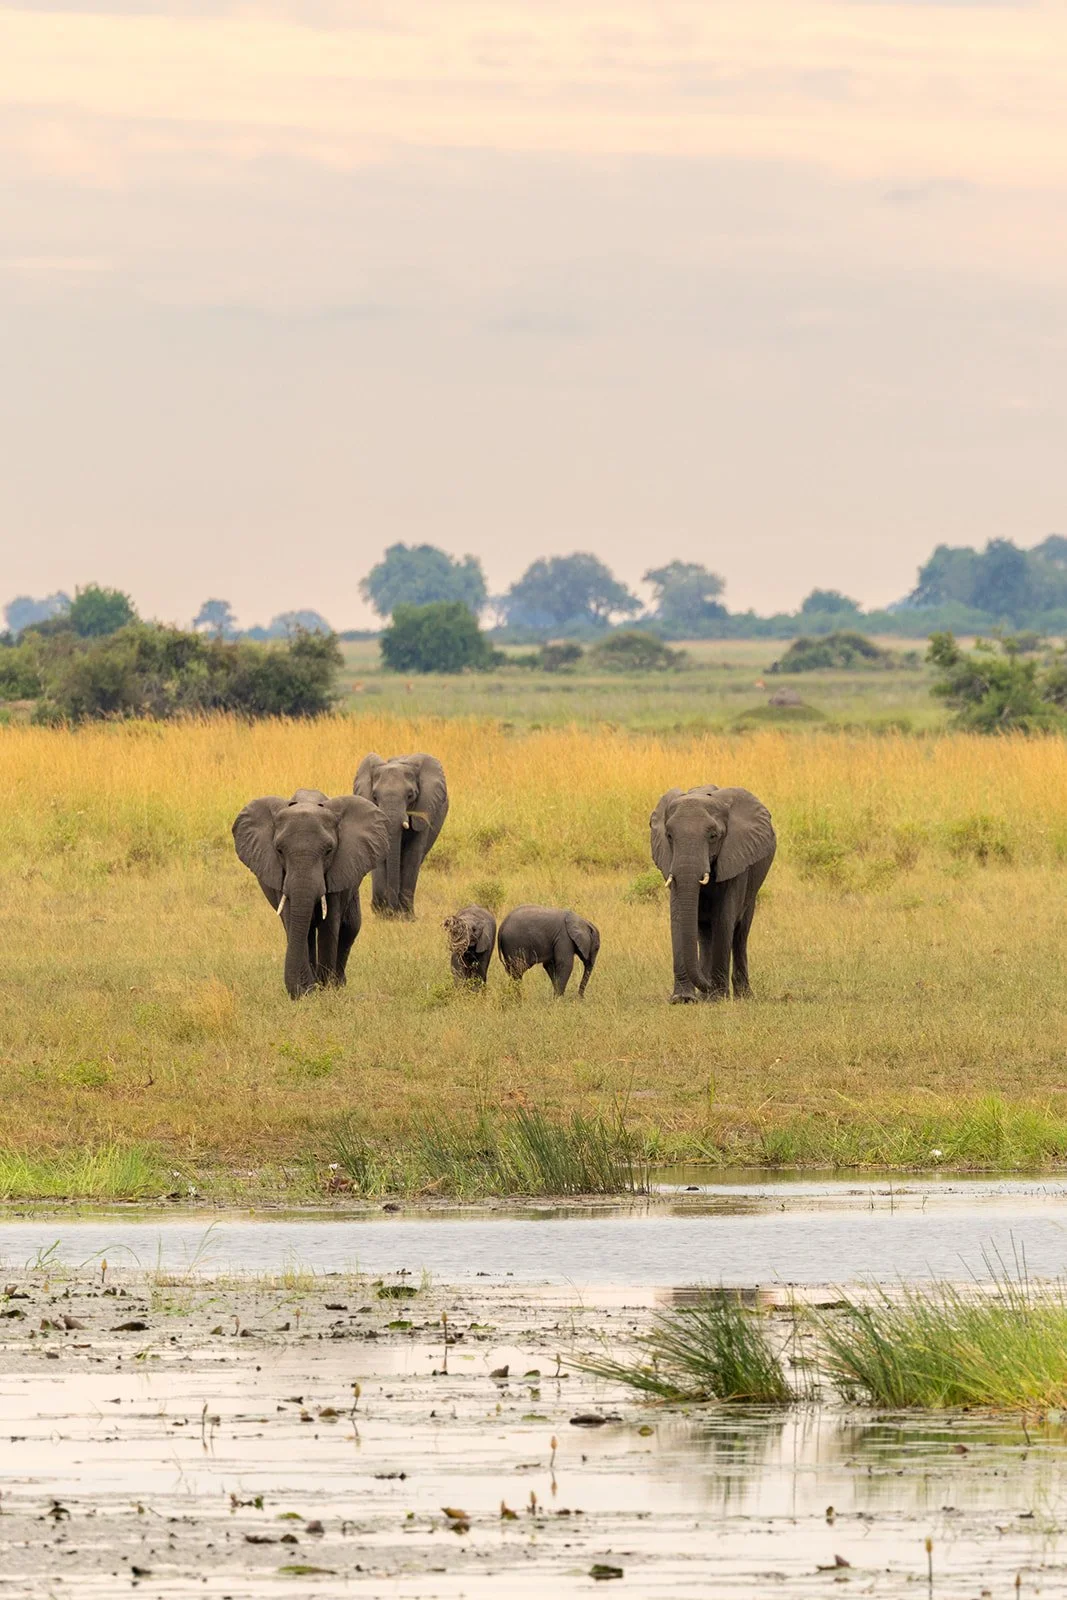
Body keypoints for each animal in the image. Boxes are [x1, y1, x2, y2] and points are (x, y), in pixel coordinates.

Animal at [232, 788, 388, 998]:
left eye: (329, 851)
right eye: (279, 851)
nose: (302, 991)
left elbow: (329, 924)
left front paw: (325, 990)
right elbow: (293, 921)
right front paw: (308, 991)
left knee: (350, 926)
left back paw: (337, 984)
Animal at [354, 753, 448, 918]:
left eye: (410, 796)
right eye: (374, 796)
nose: (391, 911)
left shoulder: (424, 808)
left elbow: (413, 854)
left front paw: (406, 917)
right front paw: (382, 914)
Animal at [650, 784, 776, 1004]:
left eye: (713, 836)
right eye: (669, 836)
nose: (709, 987)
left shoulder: (736, 857)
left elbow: (724, 918)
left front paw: (718, 997)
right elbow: (678, 917)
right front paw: (683, 999)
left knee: (740, 933)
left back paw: (742, 996)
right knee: (704, 932)